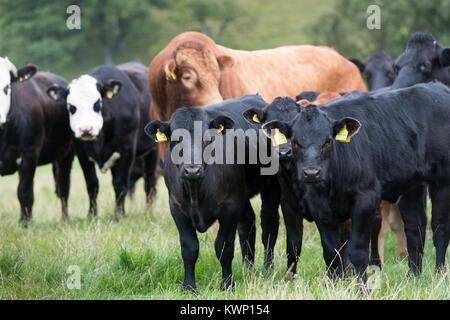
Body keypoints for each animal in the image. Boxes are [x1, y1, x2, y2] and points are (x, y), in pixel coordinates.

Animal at [0, 58, 74, 226]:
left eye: (6, 87)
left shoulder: (30, 152)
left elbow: (23, 191)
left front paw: (24, 224)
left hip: (66, 155)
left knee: (63, 188)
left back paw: (64, 219)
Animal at [47, 60, 158, 220]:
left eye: (97, 104)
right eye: (71, 107)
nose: (86, 129)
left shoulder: (127, 151)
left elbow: (120, 184)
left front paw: (119, 216)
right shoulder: (82, 153)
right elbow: (92, 184)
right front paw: (92, 215)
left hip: (152, 150)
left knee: (149, 181)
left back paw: (149, 211)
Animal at [144, 94, 280, 292]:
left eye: (207, 139)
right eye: (175, 140)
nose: (192, 170)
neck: (196, 192)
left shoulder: (230, 208)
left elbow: (224, 247)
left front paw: (227, 284)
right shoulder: (177, 208)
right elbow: (189, 248)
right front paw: (189, 287)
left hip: (270, 187)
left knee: (269, 225)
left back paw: (268, 268)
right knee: (248, 223)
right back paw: (248, 268)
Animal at [264, 81, 450, 284]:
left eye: (328, 141)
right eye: (296, 142)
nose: (311, 172)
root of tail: (437, 87)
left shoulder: (365, 200)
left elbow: (357, 251)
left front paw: (362, 287)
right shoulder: (318, 207)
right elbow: (331, 252)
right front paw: (335, 283)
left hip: (441, 181)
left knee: (440, 227)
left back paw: (439, 273)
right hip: (412, 186)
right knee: (415, 227)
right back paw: (412, 276)